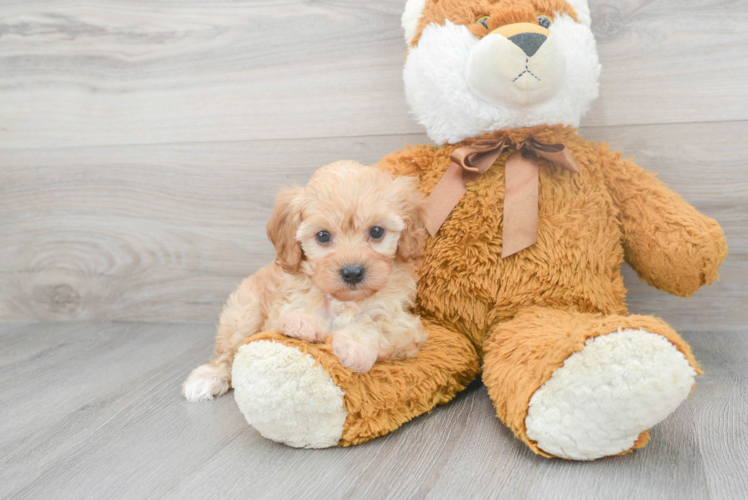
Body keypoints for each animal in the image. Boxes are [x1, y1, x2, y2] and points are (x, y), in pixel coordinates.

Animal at [182, 160, 426, 402]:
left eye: (376, 231)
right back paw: (208, 378)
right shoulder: (282, 304)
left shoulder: (404, 325)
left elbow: (377, 325)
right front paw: (302, 322)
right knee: (229, 352)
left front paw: (352, 345)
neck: (342, 301)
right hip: (244, 313)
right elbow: (295, 309)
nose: (352, 272)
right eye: (323, 236)